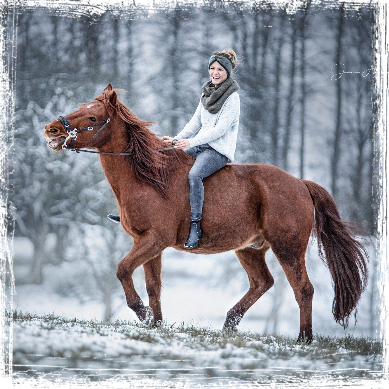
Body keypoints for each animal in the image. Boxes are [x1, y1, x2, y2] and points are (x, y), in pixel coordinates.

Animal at [44, 84, 366, 340]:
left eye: (92, 117)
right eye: (80, 108)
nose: (52, 130)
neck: (149, 177)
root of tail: (300, 184)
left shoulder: (154, 240)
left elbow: (123, 270)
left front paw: (143, 314)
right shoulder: (148, 243)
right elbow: (153, 285)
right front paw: (156, 323)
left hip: (288, 248)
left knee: (303, 289)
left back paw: (304, 339)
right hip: (249, 249)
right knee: (263, 282)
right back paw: (230, 323)